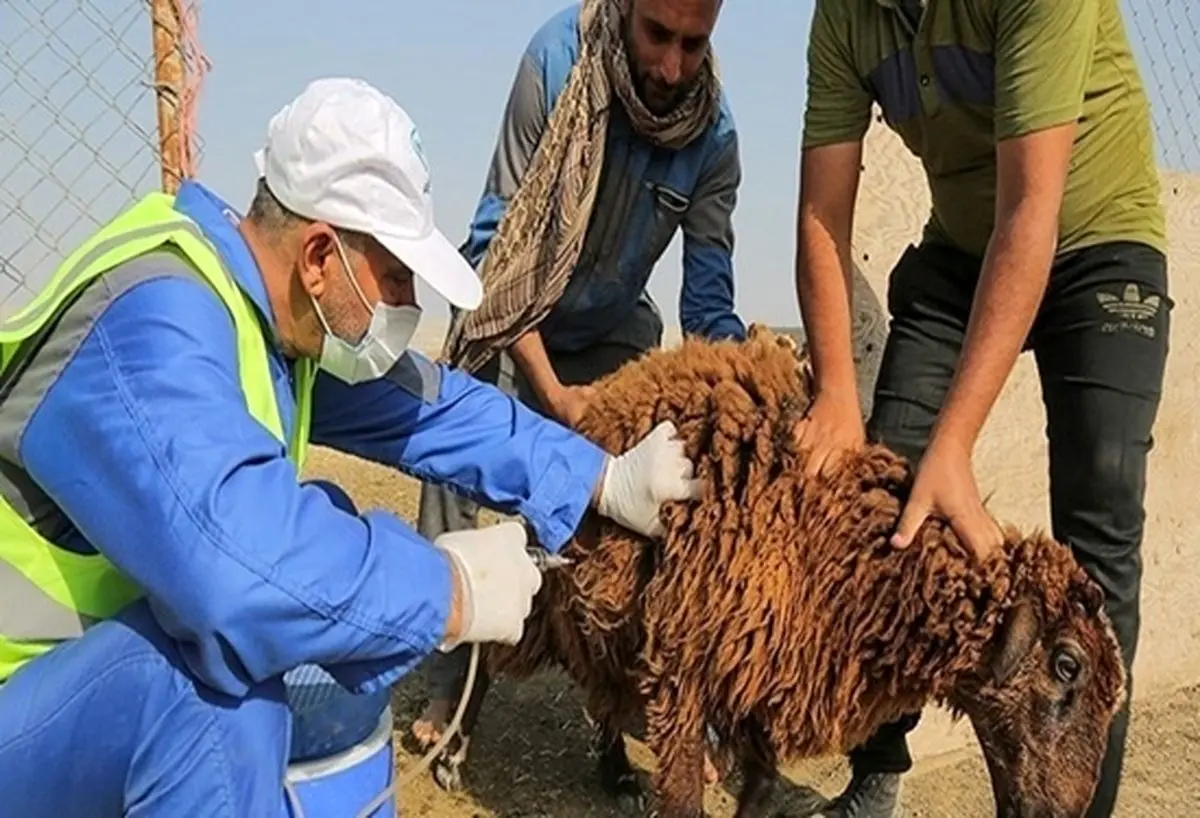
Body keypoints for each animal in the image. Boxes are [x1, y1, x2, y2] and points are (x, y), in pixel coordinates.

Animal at [429, 323, 1123, 815]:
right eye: (1067, 665)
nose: (1064, 812)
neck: (845, 551)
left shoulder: (765, 673)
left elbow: (761, 791)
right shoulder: (685, 667)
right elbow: (685, 798)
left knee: (601, 685)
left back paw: (617, 773)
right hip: (553, 592)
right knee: (493, 655)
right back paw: (451, 755)